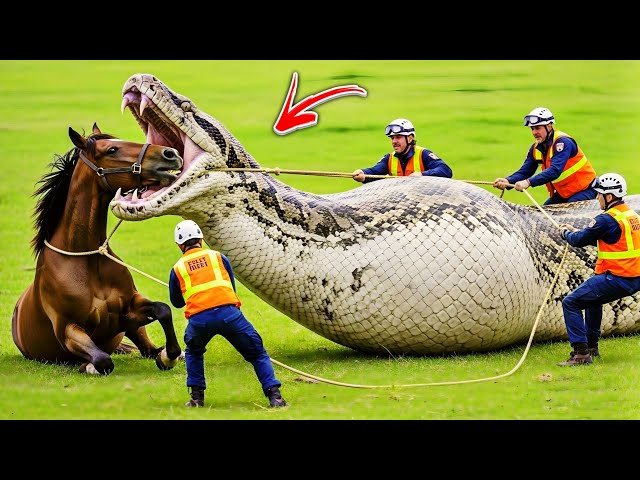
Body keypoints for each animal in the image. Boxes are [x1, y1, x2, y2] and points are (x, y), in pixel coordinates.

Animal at [12, 123, 184, 374]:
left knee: (147, 348)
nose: (171, 154)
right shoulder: (68, 329)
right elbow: (103, 359)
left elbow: (163, 309)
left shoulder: (128, 313)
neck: (87, 261)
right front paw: (88, 366)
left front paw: (168, 355)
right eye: (112, 149)